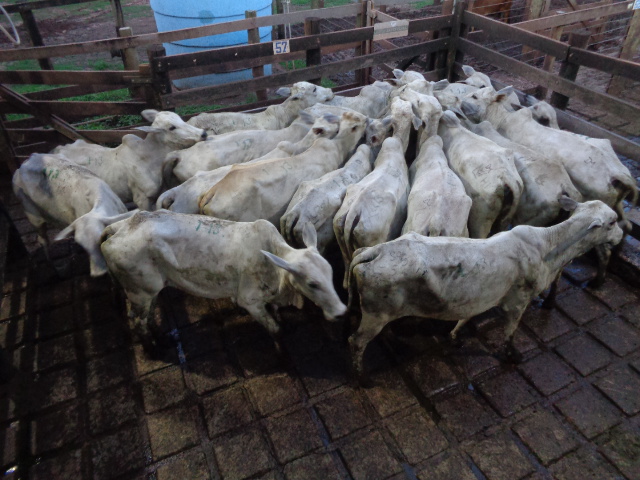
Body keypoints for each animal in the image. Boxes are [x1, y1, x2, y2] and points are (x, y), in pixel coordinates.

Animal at [52, 109, 207, 210]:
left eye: (180, 118)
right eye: (171, 127)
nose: (203, 133)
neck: (153, 158)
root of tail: (57, 149)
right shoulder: (141, 199)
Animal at [101, 211, 346, 352]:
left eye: (331, 273)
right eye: (313, 284)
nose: (341, 312)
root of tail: (117, 229)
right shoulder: (250, 301)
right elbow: (276, 330)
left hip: (151, 291)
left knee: (148, 316)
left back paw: (162, 340)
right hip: (140, 292)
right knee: (136, 320)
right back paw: (153, 347)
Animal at [347, 198, 624, 381]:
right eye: (612, 222)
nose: (621, 236)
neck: (548, 248)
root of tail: (374, 251)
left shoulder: (480, 296)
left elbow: (466, 317)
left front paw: (455, 336)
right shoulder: (517, 301)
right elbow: (510, 331)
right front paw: (513, 356)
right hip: (376, 314)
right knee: (356, 342)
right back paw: (362, 377)